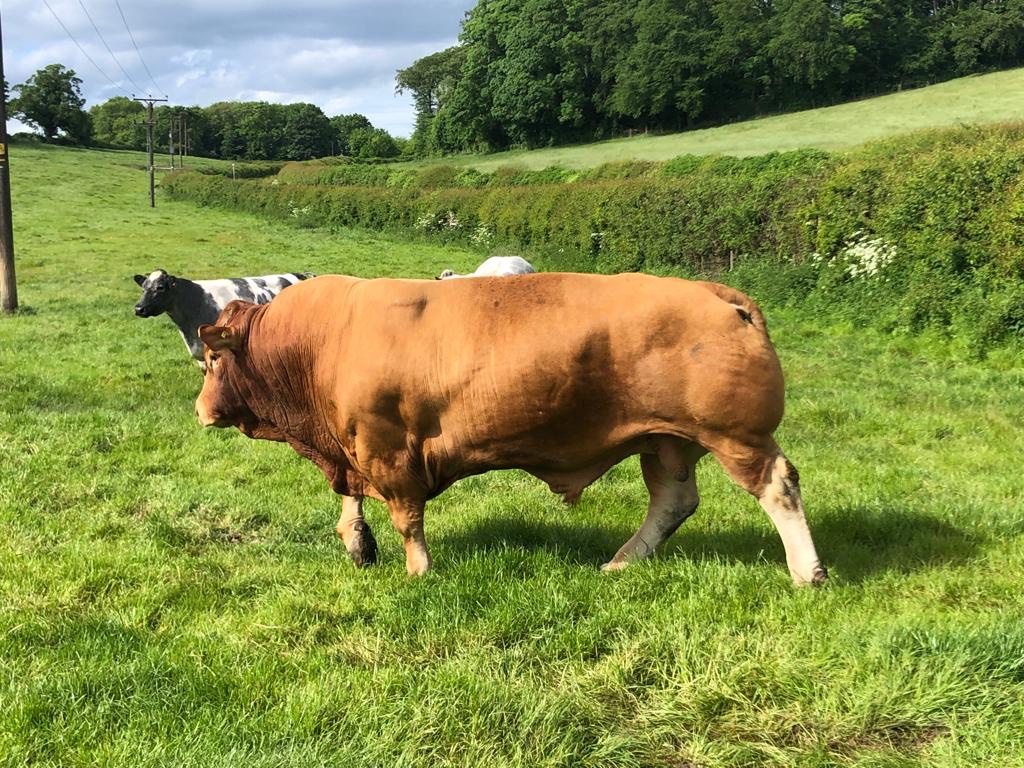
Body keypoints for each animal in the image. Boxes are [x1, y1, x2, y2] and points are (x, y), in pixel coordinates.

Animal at [194, 273, 827, 586]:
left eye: (213, 361)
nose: (199, 410)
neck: (321, 340)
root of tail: (719, 293)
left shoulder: (386, 447)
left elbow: (406, 517)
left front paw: (418, 572)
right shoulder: (352, 444)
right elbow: (352, 498)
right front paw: (357, 541)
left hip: (736, 437)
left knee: (778, 487)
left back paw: (807, 572)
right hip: (667, 441)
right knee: (673, 502)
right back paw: (623, 562)